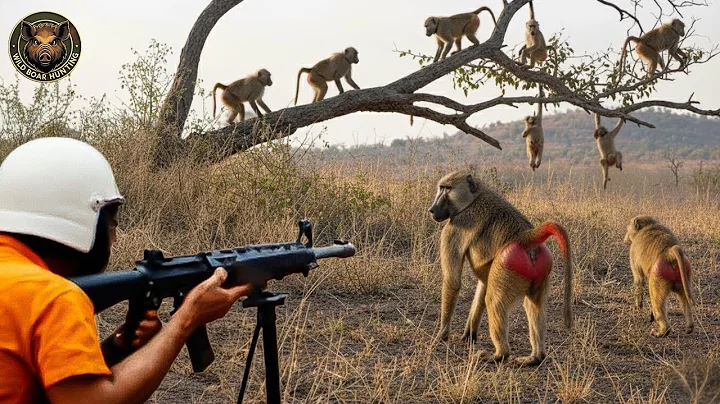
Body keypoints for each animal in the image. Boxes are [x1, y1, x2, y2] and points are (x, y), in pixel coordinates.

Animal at [428, 170, 573, 367]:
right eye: (441, 188)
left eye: (446, 189)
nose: (432, 209)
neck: (474, 198)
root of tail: (526, 237)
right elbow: (483, 285)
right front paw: (469, 334)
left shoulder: (455, 227)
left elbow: (453, 281)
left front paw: (441, 335)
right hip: (540, 270)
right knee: (533, 305)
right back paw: (535, 357)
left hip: (507, 264)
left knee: (494, 301)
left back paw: (499, 355)